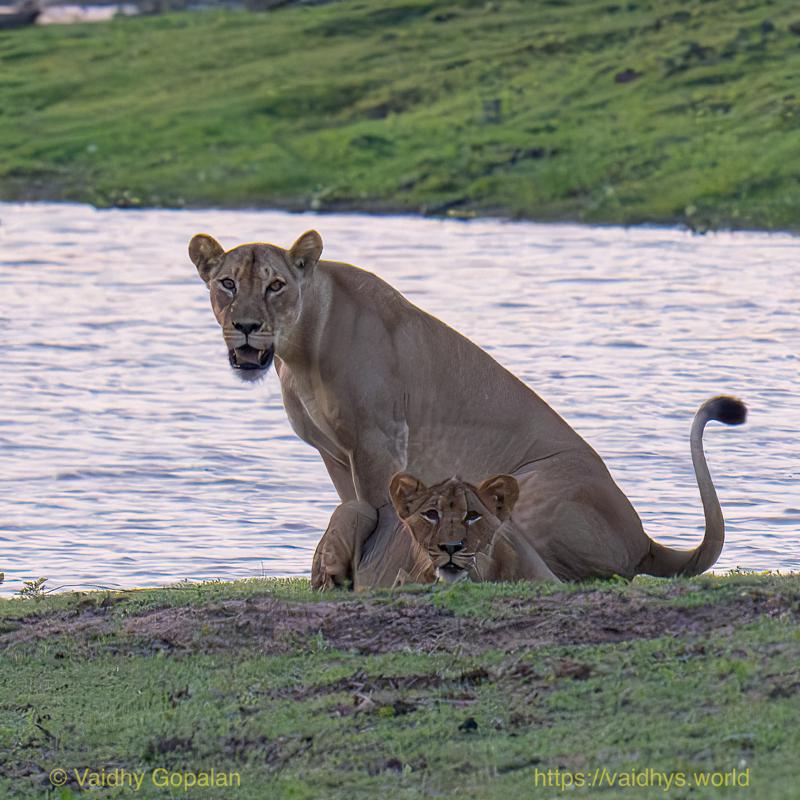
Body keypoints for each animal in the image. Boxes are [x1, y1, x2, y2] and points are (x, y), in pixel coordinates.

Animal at [190, 230, 747, 583]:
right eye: (227, 284)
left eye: (276, 285)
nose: (245, 326)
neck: (301, 348)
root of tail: (645, 538)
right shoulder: (334, 453)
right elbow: (353, 504)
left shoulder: (379, 441)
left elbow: (378, 510)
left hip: (532, 492)